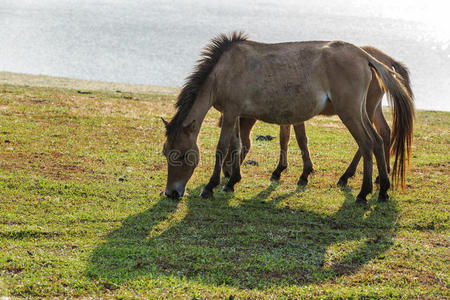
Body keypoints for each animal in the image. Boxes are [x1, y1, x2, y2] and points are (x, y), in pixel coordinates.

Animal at [221, 44, 414, 190]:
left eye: (231, 146)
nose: (226, 171)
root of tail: (385, 60)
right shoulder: (286, 115)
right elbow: (284, 138)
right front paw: (280, 169)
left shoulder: (296, 116)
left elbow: (300, 139)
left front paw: (303, 173)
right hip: (371, 109)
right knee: (383, 133)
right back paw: (380, 175)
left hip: (362, 109)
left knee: (369, 141)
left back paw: (349, 176)